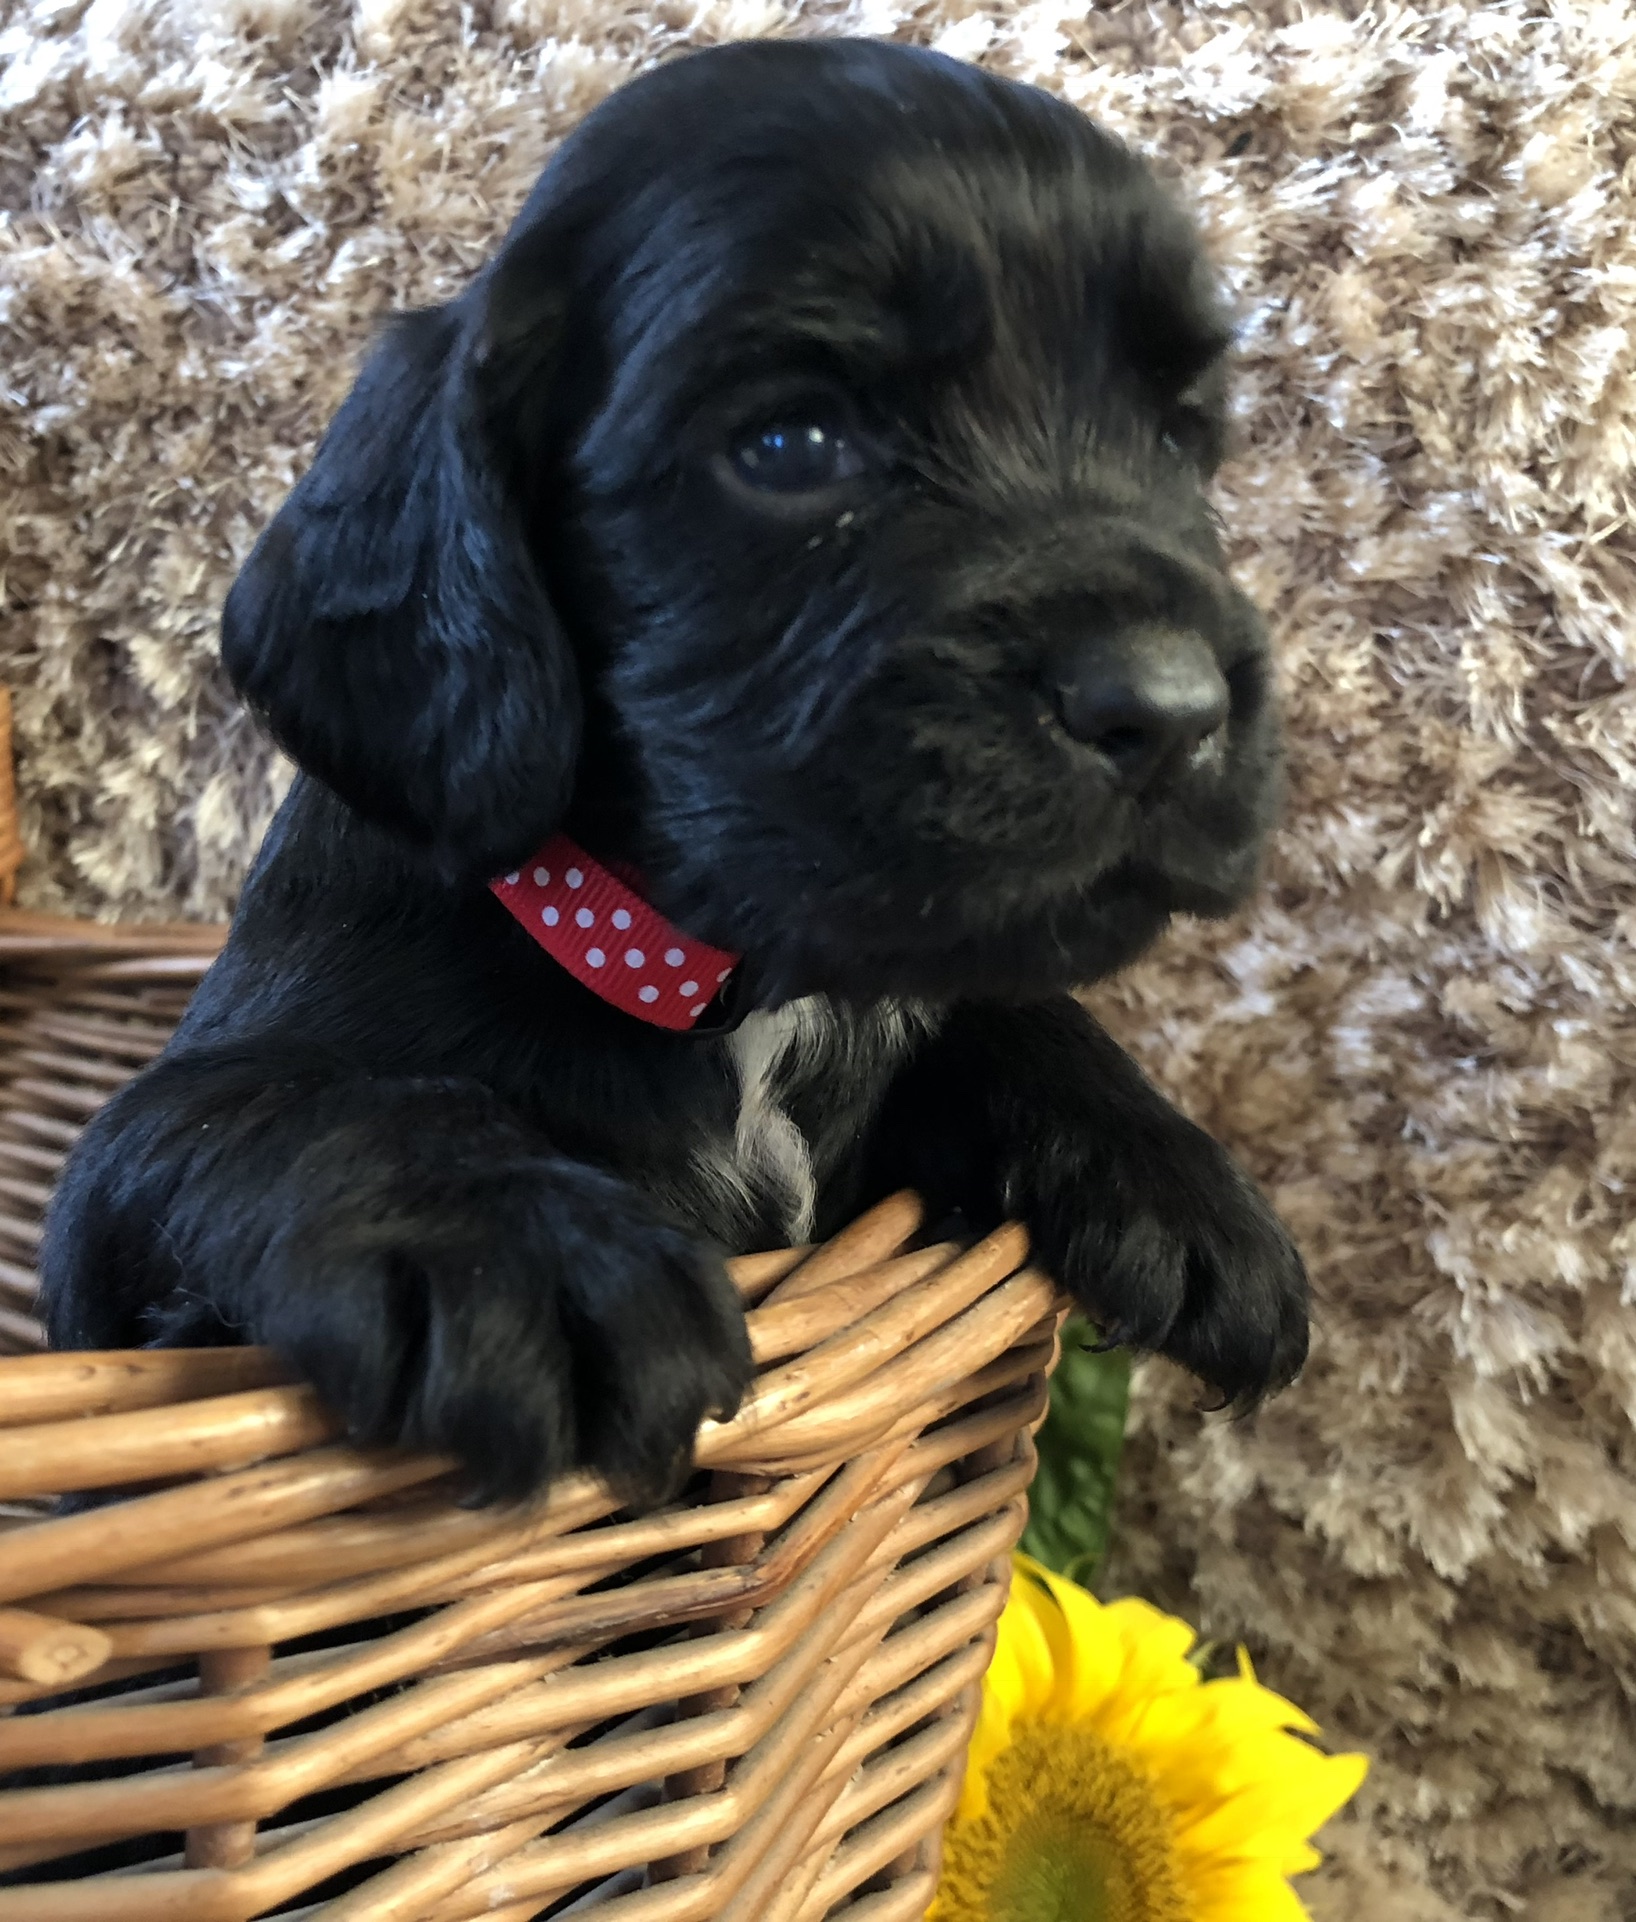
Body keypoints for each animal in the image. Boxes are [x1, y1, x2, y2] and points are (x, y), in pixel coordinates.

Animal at [39, 38, 1308, 1505]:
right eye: (789, 445)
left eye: (1178, 434)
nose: (1169, 707)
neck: (722, 986)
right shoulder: (127, 1181)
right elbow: (296, 1105)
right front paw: (522, 1251)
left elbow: (995, 999)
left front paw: (1180, 1178)